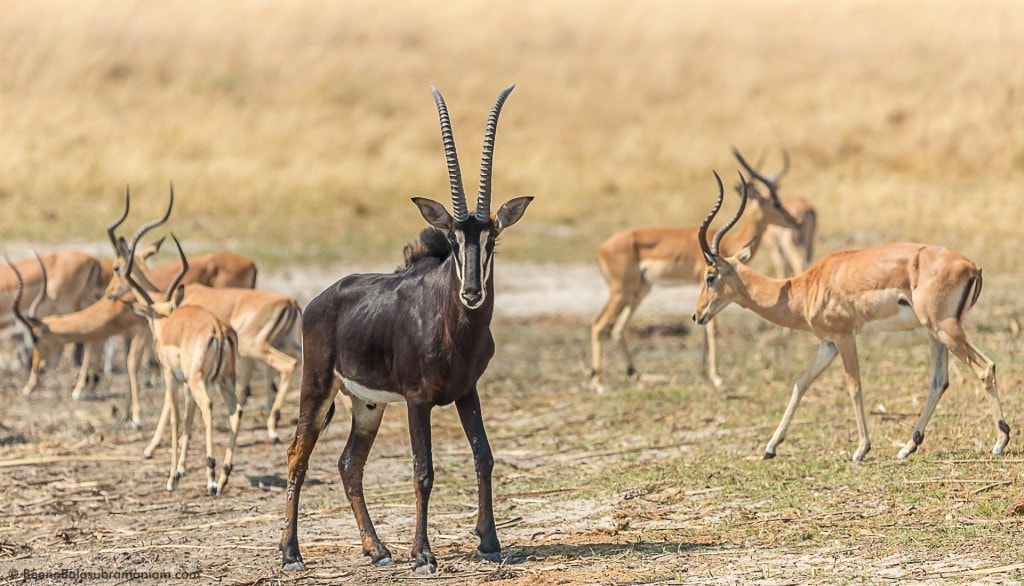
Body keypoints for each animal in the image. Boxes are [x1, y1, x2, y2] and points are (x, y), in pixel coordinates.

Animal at [110, 189, 303, 442]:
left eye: (116, 267)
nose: (109, 293)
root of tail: (290, 300)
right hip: (288, 343)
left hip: (255, 347)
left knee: (287, 366)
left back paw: (272, 428)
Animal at [121, 233, 241, 493]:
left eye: (149, 317)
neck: (168, 322)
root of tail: (217, 327)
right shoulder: (185, 382)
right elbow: (187, 418)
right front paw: (179, 471)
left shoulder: (171, 376)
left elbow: (176, 418)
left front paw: (172, 477)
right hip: (225, 381)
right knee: (236, 410)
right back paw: (224, 476)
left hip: (199, 381)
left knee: (208, 406)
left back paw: (211, 478)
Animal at [280, 84, 536, 573]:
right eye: (453, 238)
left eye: (491, 239)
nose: (471, 293)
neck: (455, 327)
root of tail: (321, 300)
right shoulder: (418, 400)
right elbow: (423, 470)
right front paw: (423, 555)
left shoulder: (467, 391)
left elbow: (484, 458)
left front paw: (490, 543)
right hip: (318, 386)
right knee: (297, 455)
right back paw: (290, 554)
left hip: (367, 404)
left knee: (349, 463)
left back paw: (377, 550)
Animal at [593, 148, 798, 391]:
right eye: (775, 203)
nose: (795, 222)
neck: (732, 241)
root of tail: (601, 246)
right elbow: (712, 329)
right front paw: (716, 377)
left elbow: (706, 327)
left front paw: (704, 373)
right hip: (622, 291)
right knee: (598, 325)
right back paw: (598, 384)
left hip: (639, 291)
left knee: (616, 328)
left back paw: (635, 376)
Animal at [688, 172, 1007, 461]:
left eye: (710, 277)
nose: (697, 315)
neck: (805, 287)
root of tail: (972, 266)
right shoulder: (827, 344)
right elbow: (800, 383)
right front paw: (770, 448)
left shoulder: (844, 337)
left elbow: (854, 386)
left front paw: (861, 449)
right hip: (934, 333)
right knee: (939, 380)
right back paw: (907, 447)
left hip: (944, 329)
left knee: (985, 367)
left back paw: (1000, 442)